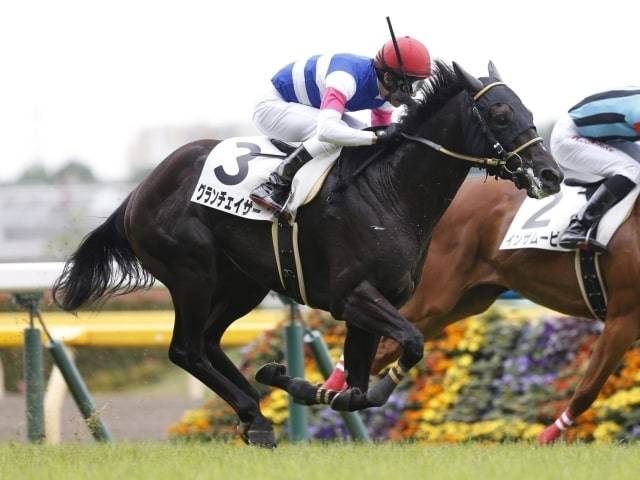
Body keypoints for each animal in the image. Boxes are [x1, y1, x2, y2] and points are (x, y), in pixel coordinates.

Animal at [51, 61, 562, 447]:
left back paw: (255, 412)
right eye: (500, 114)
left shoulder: (374, 303)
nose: (550, 174)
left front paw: (299, 383)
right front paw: (302, 384)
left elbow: (358, 389)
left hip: (243, 283)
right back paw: (254, 415)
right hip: (191, 274)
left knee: (210, 343)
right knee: (187, 349)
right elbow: (411, 343)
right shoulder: (352, 296)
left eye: (527, 109)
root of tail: (139, 191)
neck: (389, 193)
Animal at [362, 176, 640, 443]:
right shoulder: (624, 317)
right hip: (433, 295)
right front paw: (544, 438)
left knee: (388, 347)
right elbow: (588, 389)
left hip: (459, 304)